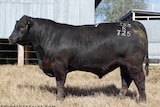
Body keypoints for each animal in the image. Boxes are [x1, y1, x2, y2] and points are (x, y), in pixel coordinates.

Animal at [8, 15, 149, 102]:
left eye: (21, 27)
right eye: (15, 26)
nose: (10, 38)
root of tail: (132, 23)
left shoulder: (59, 65)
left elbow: (60, 83)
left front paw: (59, 99)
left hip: (134, 64)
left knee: (139, 80)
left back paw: (142, 100)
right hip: (124, 65)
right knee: (126, 80)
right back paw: (120, 98)